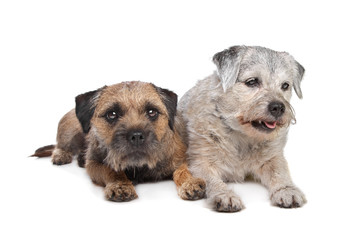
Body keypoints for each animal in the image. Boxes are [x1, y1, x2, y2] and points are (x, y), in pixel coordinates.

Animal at [32, 81, 205, 202]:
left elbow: (182, 171)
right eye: (112, 114)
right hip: (69, 128)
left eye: (152, 112)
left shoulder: (182, 158)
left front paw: (190, 183)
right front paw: (120, 185)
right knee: (61, 144)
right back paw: (61, 155)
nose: (136, 136)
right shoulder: (95, 164)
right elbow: (111, 171)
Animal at [179, 45, 306, 212]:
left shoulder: (273, 158)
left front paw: (286, 190)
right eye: (252, 82)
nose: (279, 107)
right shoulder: (201, 162)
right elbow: (212, 180)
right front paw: (224, 194)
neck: (241, 135)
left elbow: (280, 172)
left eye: (285, 85)